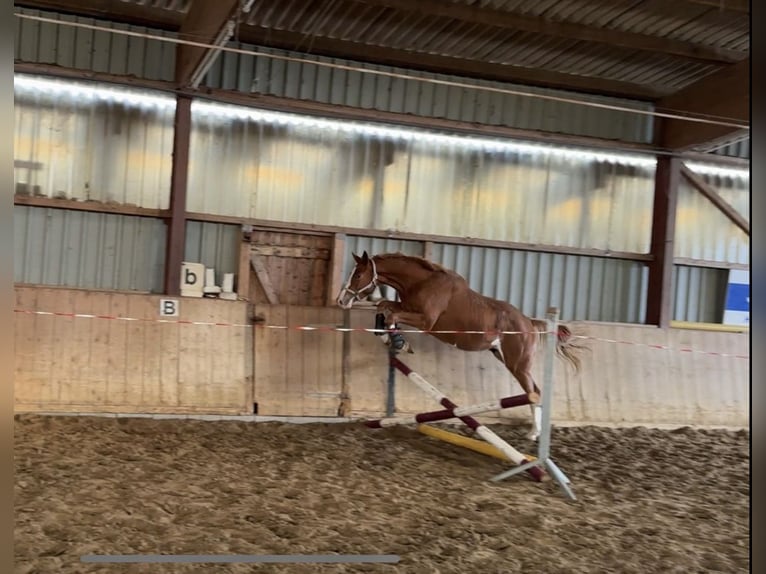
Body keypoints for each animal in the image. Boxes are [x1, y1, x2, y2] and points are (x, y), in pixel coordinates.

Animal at [336, 251, 584, 441]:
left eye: (358, 274)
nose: (341, 301)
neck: (422, 282)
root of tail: (529, 323)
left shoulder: (426, 321)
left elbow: (390, 313)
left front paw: (397, 341)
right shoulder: (406, 307)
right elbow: (384, 307)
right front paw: (392, 338)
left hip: (518, 364)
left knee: (534, 393)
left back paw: (534, 434)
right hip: (505, 359)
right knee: (534, 391)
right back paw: (535, 433)